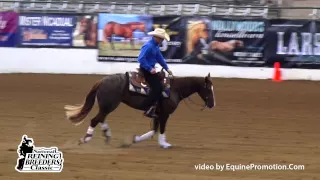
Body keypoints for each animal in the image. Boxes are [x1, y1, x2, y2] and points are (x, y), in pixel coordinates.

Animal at [63, 68, 216, 148]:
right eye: (208, 89)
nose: (212, 104)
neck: (175, 89)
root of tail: (102, 80)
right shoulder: (164, 114)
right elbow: (161, 130)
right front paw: (164, 144)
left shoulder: (157, 114)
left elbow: (153, 130)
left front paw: (135, 139)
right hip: (109, 105)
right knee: (95, 120)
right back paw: (86, 139)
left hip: (107, 106)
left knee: (101, 119)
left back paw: (107, 135)